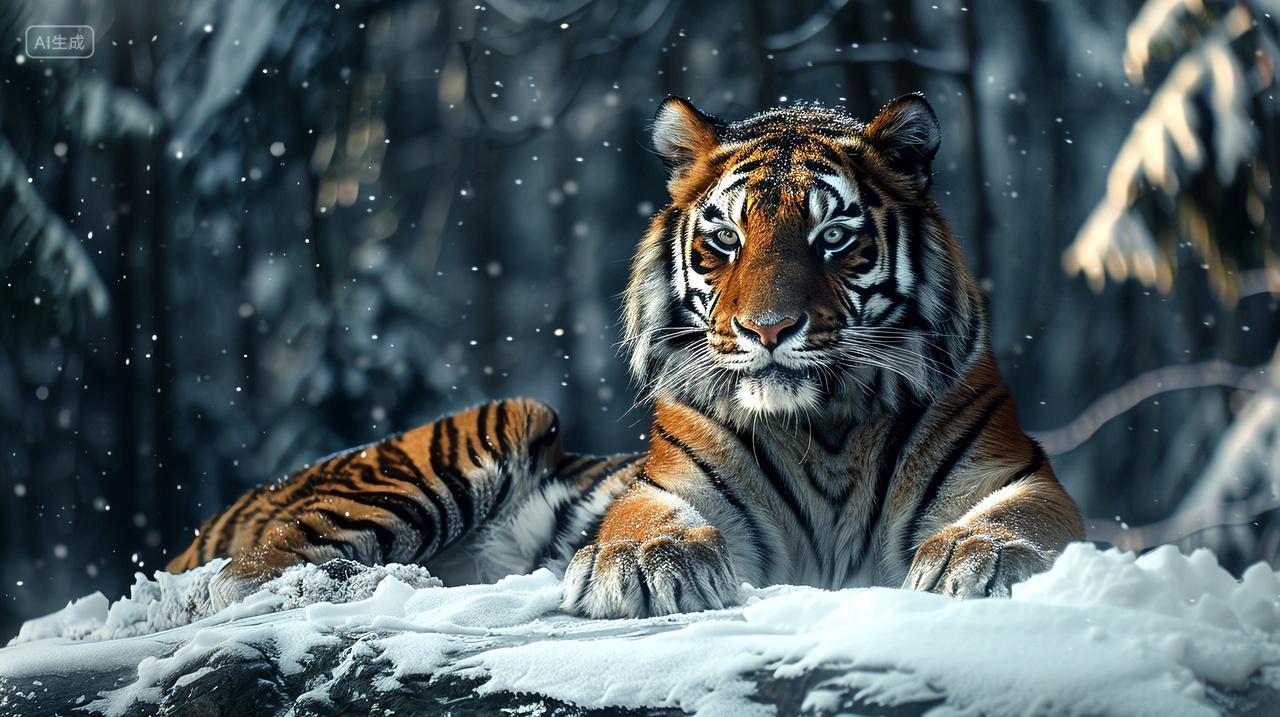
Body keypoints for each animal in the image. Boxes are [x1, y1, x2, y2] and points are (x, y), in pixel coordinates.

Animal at [170, 93, 1084, 618]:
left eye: (832, 237)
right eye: (725, 239)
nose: (768, 330)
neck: (822, 426)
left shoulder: (1014, 471)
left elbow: (1019, 518)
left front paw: (979, 555)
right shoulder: (668, 483)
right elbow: (643, 520)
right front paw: (645, 564)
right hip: (483, 429)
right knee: (251, 572)